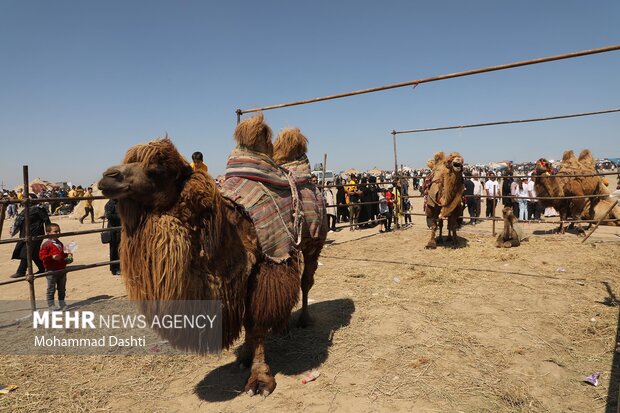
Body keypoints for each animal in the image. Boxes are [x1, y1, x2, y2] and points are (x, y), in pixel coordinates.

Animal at [98, 115, 306, 396]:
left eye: (156, 170)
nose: (107, 177)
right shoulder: (235, 282)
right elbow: (248, 324)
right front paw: (244, 357)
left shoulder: (262, 270)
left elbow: (256, 323)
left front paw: (260, 379)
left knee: (306, 281)